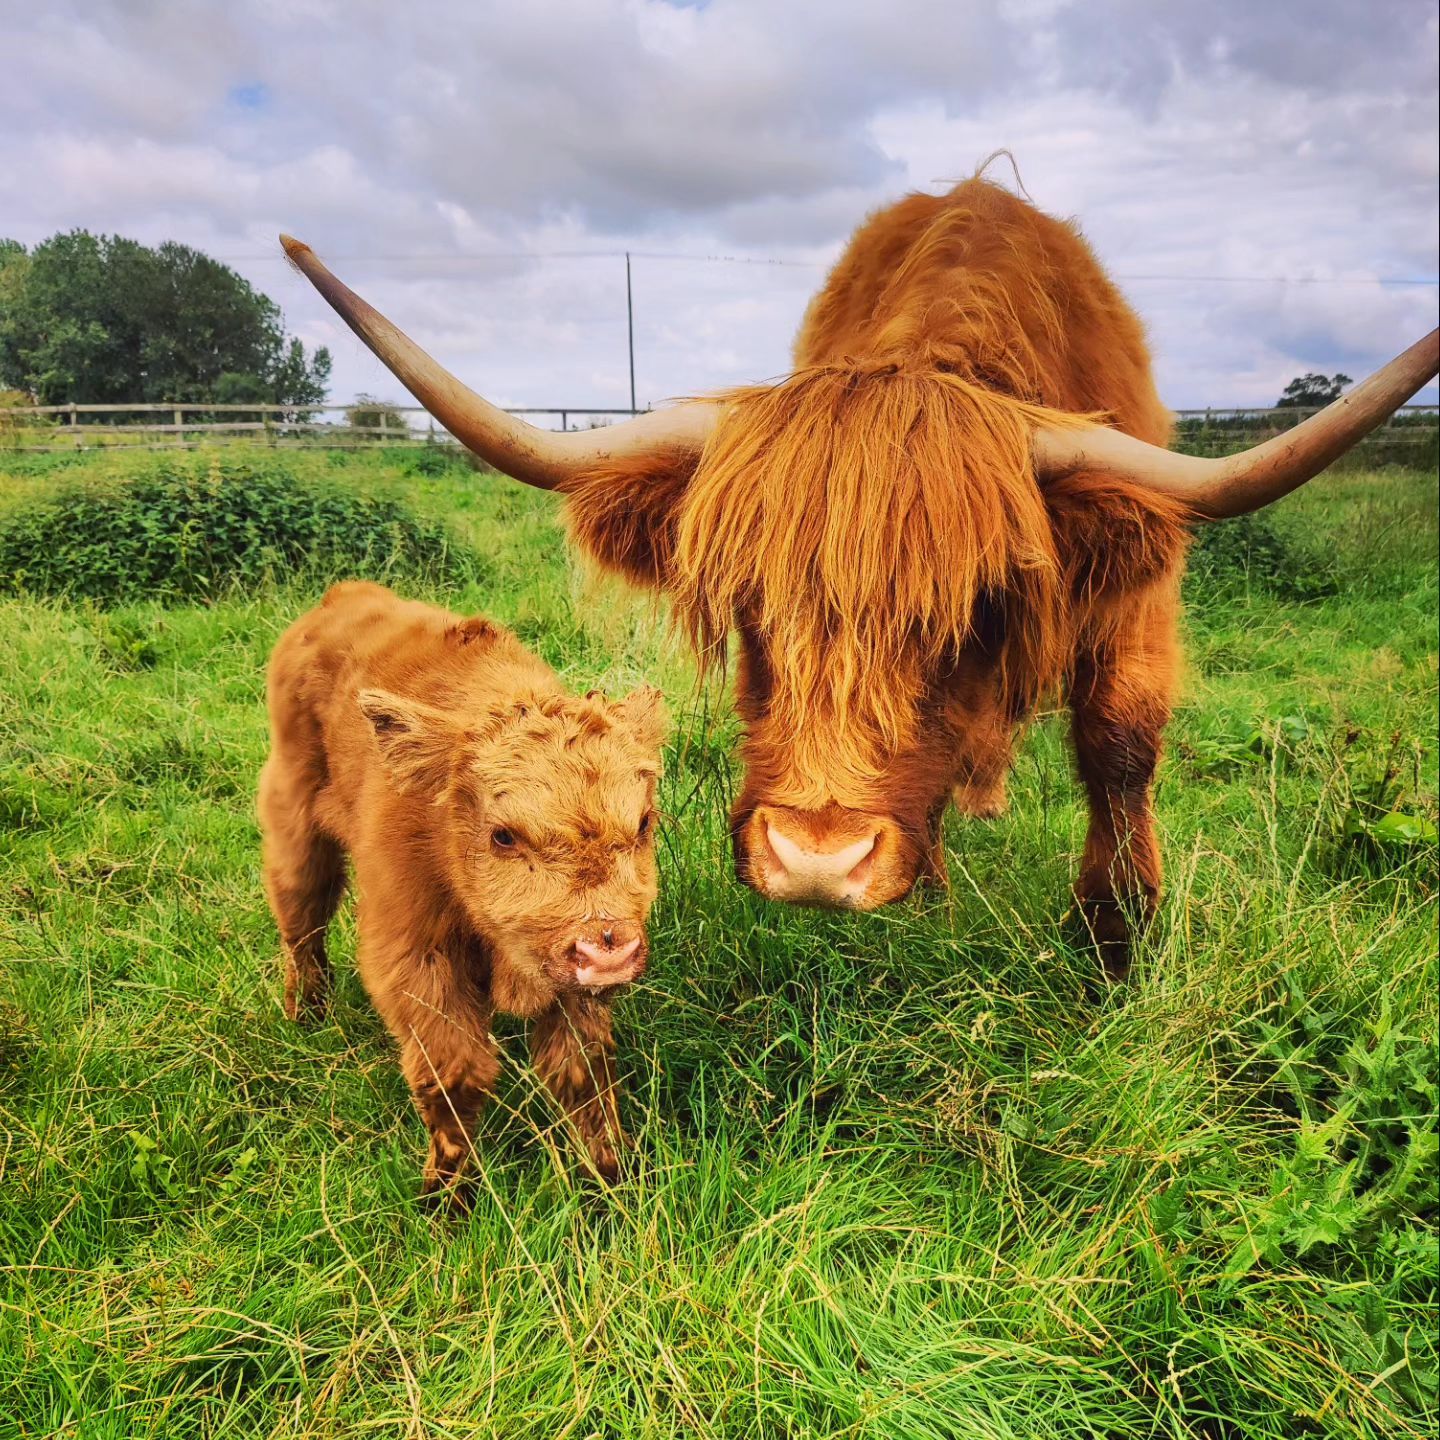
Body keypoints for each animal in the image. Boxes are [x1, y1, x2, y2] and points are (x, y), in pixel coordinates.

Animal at [257, 578, 662, 1198]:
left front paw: (609, 1180)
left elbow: (581, 1072)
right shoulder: (414, 956)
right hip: (295, 824)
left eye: (642, 823)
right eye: (503, 835)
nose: (607, 950)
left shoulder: (572, 980)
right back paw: (307, 1012)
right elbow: (455, 1074)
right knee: (301, 916)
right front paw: (447, 1195)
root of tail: (342, 596)